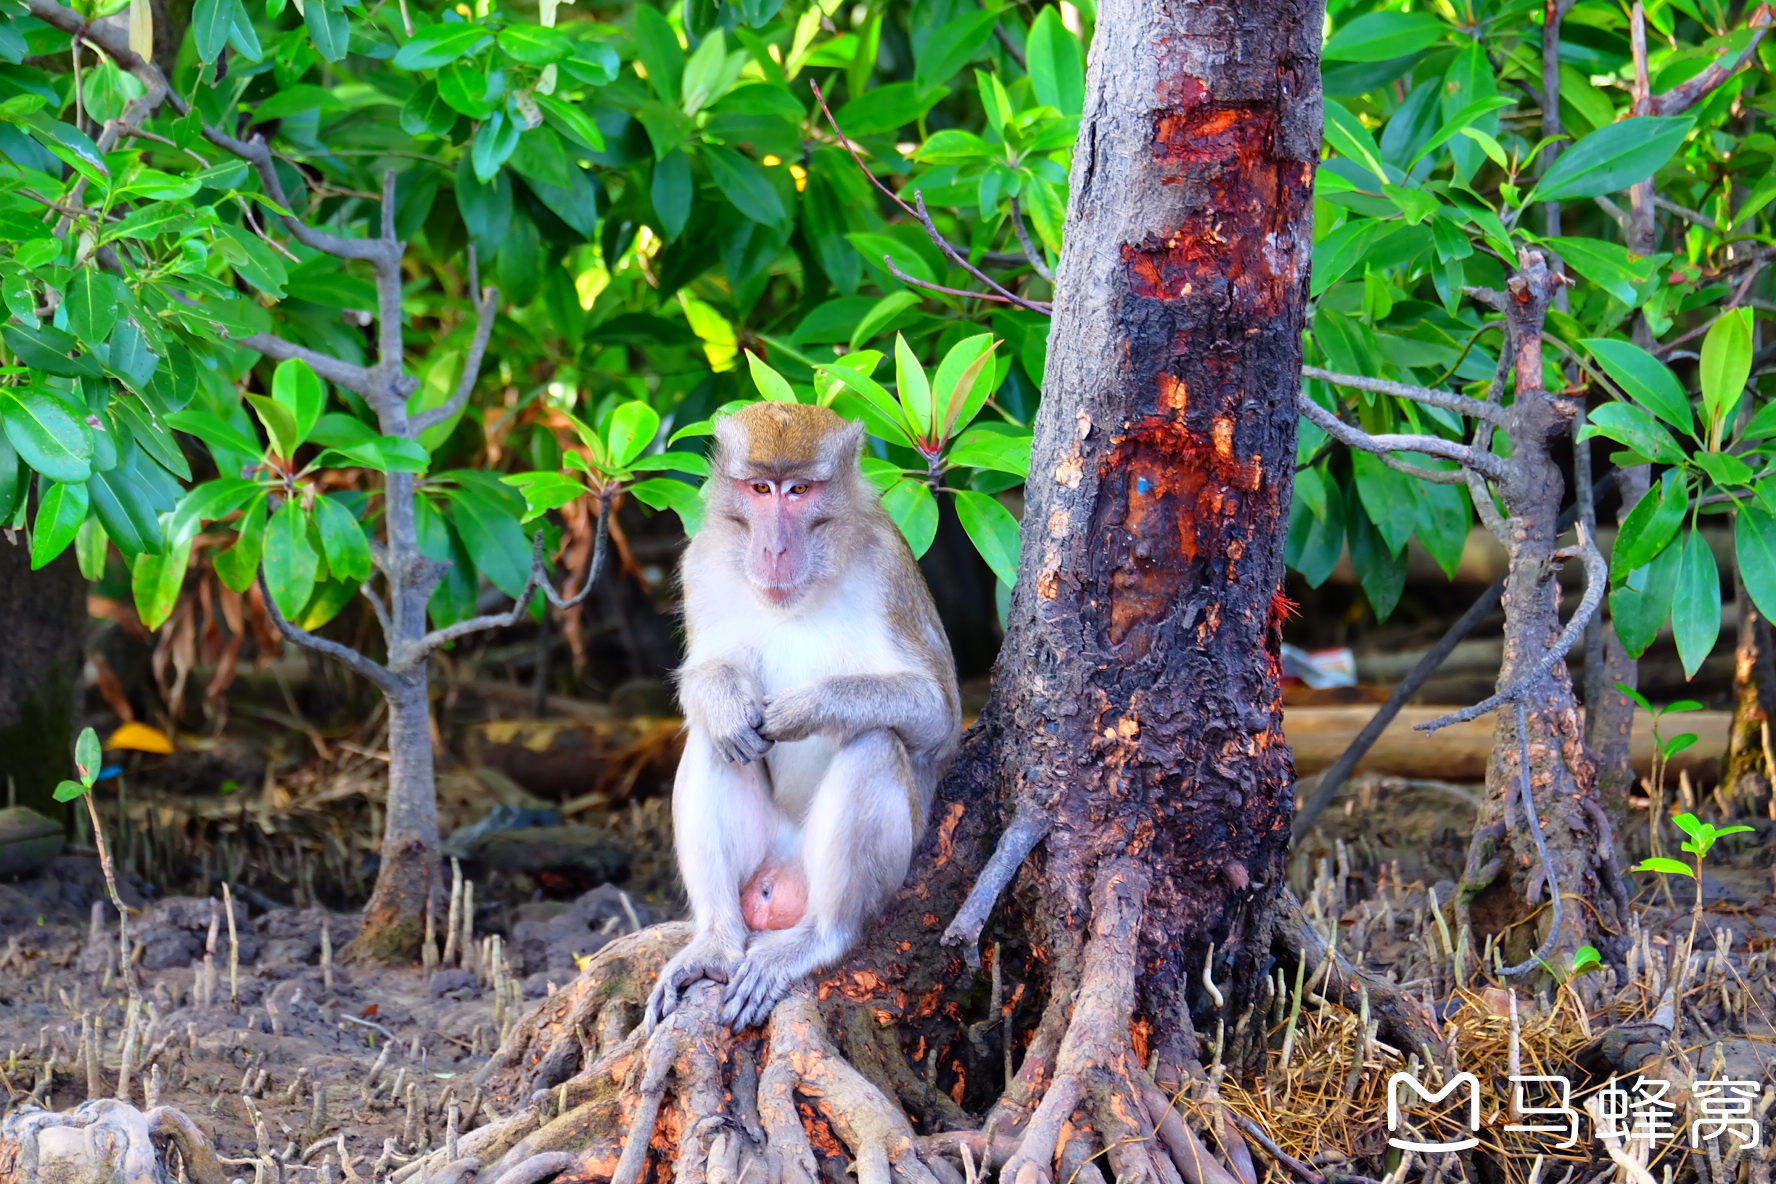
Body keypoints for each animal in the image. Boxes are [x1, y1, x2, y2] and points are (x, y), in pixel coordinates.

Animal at [650, 401, 966, 1029]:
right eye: (760, 489)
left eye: (799, 491)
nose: (774, 550)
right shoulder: (701, 560)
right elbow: (706, 673)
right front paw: (725, 699)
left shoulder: (890, 566)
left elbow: (939, 714)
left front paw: (808, 708)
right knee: (714, 743)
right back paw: (716, 940)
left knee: (874, 743)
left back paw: (820, 936)